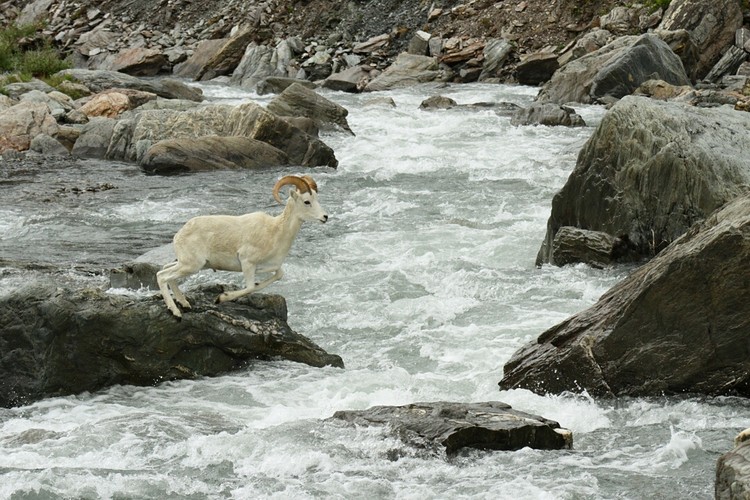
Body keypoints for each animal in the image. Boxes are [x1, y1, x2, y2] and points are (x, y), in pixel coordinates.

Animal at [156, 175, 328, 318]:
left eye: (317, 198)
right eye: (307, 201)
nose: (325, 217)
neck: (276, 232)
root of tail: (180, 234)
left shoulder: (269, 266)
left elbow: (277, 276)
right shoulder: (247, 263)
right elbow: (251, 287)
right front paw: (220, 298)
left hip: (191, 265)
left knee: (166, 271)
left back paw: (184, 303)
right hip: (192, 266)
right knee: (162, 276)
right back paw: (176, 312)